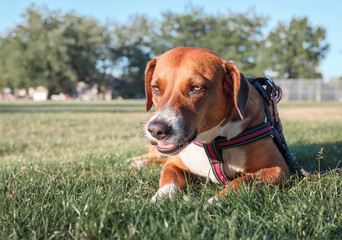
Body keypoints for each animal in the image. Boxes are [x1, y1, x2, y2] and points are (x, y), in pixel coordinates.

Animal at [131, 47, 288, 203]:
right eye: (155, 88)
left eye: (196, 88)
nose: (155, 130)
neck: (211, 140)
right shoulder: (173, 164)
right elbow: (168, 177)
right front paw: (160, 198)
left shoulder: (279, 169)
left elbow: (241, 181)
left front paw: (216, 201)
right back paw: (136, 162)